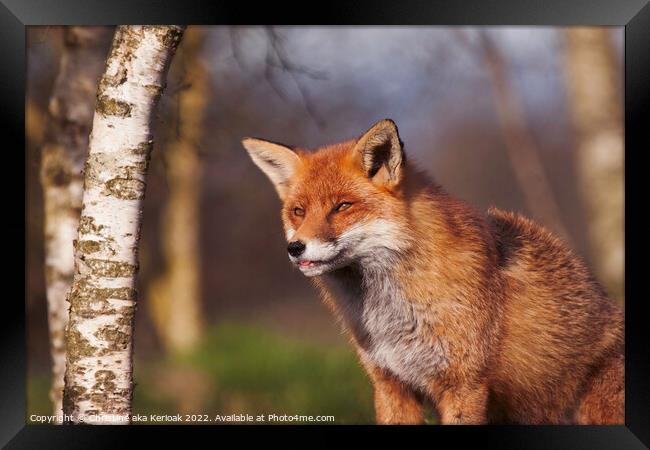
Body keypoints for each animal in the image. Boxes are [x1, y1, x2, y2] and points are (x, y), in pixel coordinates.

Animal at [242, 118, 624, 422]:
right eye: (298, 211)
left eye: (343, 206)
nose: (295, 248)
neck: (392, 315)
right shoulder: (391, 384)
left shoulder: (464, 385)